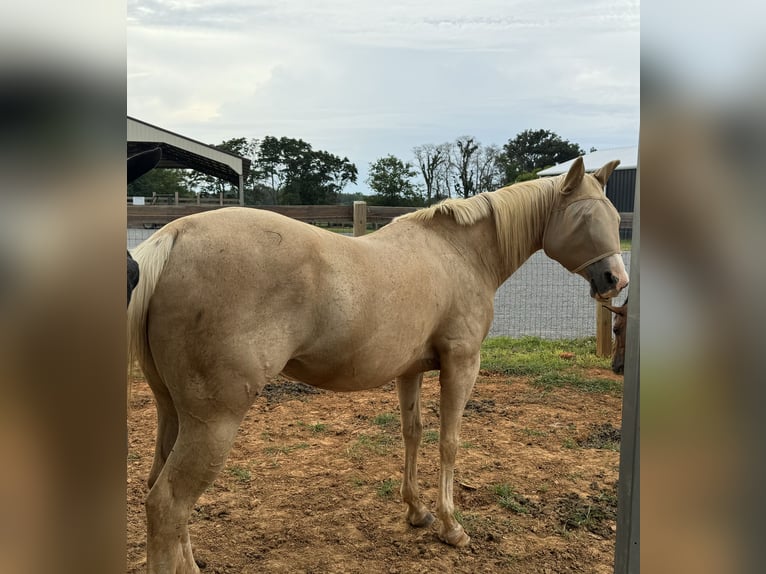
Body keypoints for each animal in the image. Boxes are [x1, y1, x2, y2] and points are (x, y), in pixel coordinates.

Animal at [127, 159, 632, 574]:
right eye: (584, 217)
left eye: (613, 218)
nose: (616, 280)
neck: (459, 254)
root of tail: (174, 237)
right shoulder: (461, 362)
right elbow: (449, 442)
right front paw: (451, 526)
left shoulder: (411, 370)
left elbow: (414, 433)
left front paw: (417, 511)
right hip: (214, 422)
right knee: (167, 504)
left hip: (174, 412)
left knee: (163, 492)